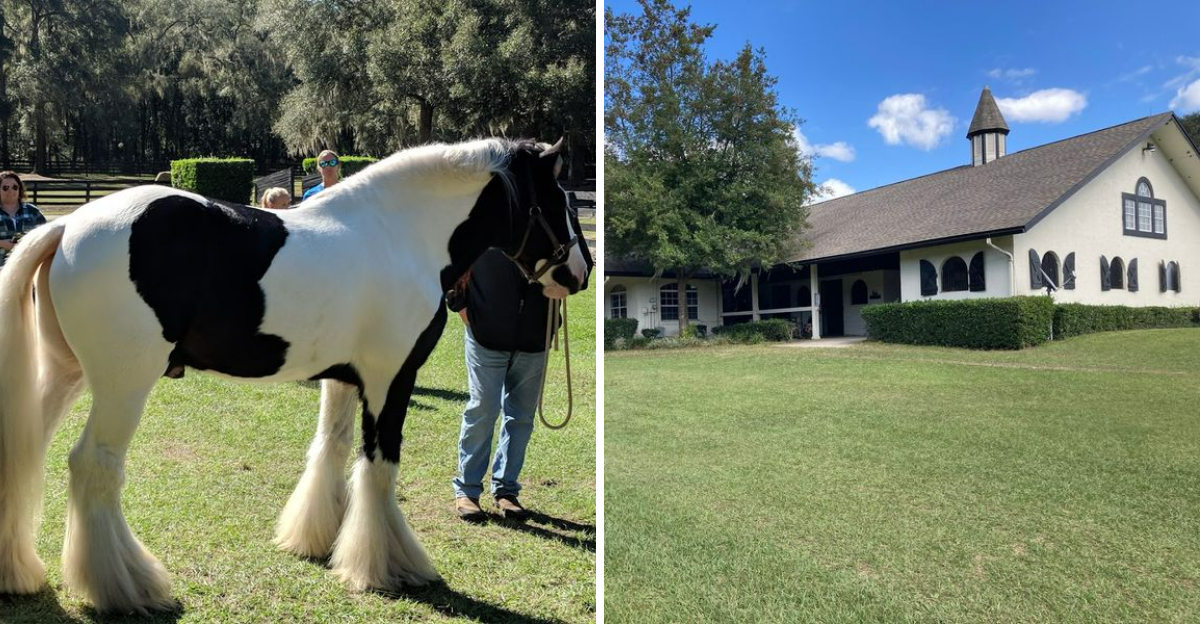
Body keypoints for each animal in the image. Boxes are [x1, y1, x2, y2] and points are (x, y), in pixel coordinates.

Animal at [0, 138, 591, 613]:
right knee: (92, 467)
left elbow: (332, 448)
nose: (578, 273)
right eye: (561, 200)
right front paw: (388, 566)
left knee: (24, 452)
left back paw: (20, 573)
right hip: (123, 385)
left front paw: (318, 541)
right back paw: (126, 588)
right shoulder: (390, 379)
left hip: (65, 375)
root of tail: (68, 225)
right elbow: (379, 468)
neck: (400, 233)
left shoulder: (344, 378)